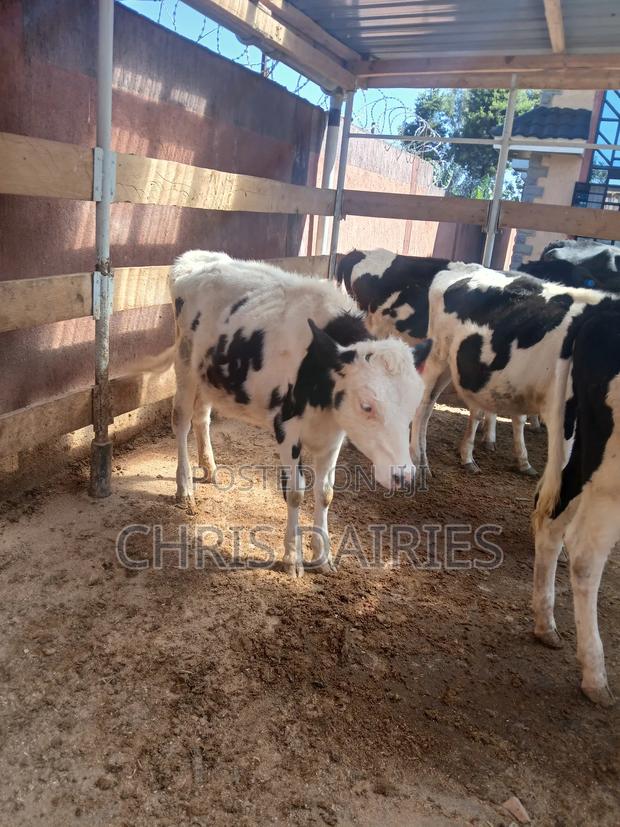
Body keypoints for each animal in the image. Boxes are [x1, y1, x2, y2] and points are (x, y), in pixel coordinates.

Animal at [139, 250, 430, 577]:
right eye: (367, 405)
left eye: (413, 405)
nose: (404, 475)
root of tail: (194, 257)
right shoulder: (287, 428)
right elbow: (295, 492)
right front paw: (293, 558)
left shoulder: (334, 435)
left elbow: (325, 492)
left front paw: (323, 556)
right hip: (185, 363)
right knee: (181, 421)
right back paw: (185, 488)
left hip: (210, 373)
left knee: (202, 417)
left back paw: (210, 468)